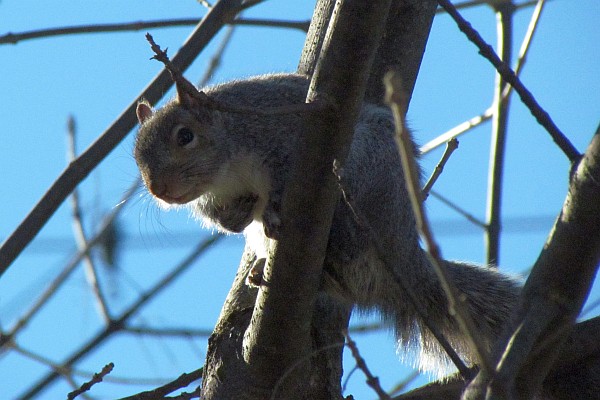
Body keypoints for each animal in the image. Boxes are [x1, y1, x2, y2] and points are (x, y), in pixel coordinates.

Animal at [134, 71, 516, 376]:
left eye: (185, 136)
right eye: (137, 155)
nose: (158, 189)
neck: (225, 171)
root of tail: (402, 249)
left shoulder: (281, 137)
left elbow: (280, 179)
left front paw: (270, 207)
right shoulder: (212, 201)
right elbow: (225, 218)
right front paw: (238, 215)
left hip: (368, 172)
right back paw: (261, 268)